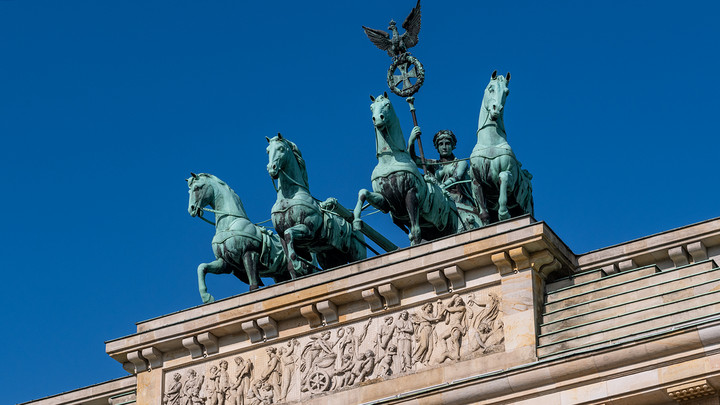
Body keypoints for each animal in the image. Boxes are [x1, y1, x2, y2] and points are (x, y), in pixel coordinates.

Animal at [188, 172, 298, 302]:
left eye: (197, 188)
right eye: (189, 191)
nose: (191, 209)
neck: (229, 224)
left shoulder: (249, 252)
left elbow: (254, 284)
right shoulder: (225, 263)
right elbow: (202, 267)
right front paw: (206, 297)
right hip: (280, 275)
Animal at [264, 134, 366, 274]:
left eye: (281, 148)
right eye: (268, 151)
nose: (271, 168)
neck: (289, 198)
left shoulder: (308, 230)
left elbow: (289, 233)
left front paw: (297, 263)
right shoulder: (282, 238)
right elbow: (289, 260)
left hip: (357, 253)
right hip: (329, 256)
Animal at [354, 92, 462, 243]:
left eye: (387, 104)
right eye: (371, 107)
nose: (377, 119)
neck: (389, 161)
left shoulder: (411, 193)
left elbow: (415, 231)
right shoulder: (387, 201)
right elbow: (363, 193)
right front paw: (357, 221)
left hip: (450, 226)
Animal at [470, 72, 532, 224]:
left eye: (507, 92)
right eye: (490, 88)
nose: (496, 108)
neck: (490, 143)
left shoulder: (509, 176)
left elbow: (503, 177)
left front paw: (503, 213)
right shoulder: (476, 181)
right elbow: (484, 214)